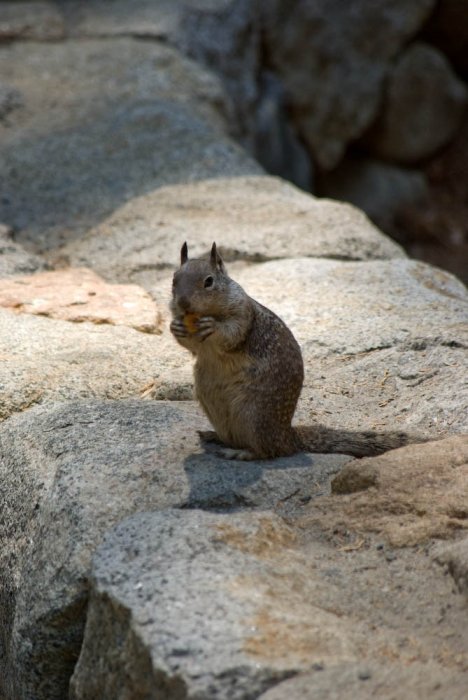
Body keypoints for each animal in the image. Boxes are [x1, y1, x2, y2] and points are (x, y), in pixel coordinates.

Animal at [170, 243, 418, 462]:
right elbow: (191, 347)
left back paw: (240, 453)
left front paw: (212, 326)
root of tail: (289, 437)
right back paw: (214, 437)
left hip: (253, 415)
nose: (183, 303)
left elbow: (232, 334)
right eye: (173, 280)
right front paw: (176, 327)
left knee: (268, 451)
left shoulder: (243, 315)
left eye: (209, 281)